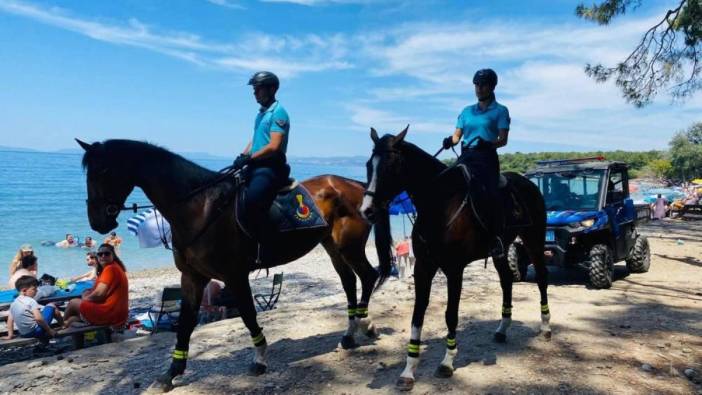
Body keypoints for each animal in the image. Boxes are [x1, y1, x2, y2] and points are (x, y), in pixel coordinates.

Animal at [78, 140, 396, 392]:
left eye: (103, 172)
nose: (97, 221)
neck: (200, 206)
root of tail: (354, 185)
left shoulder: (234, 275)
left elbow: (247, 313)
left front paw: (260, 358)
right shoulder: (192, 277)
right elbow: (185, 323)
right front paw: (171, 373)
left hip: (349, 246)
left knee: (367, 276)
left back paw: (364, 325)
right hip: (332, 247)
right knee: (349, 281)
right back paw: (350, 333)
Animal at [360, 128, 552, 392]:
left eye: (391, 166)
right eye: (369, 165)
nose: (367, 211)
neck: (439, 205)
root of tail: (529, 183)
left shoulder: (454, 269)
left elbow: (451, 314)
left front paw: (447, 362)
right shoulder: (423, 268)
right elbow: (417, 315)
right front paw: (408, 370)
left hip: (534, 241)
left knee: (542, 278)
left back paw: (545, 326)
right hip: (501, 251)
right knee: (506, 281)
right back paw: (502, 329)